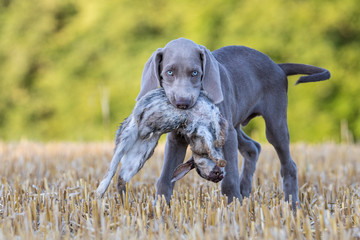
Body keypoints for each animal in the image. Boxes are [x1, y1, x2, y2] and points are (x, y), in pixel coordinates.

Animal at [95, 87, 228, 197]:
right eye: (198, 166)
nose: (218, 177)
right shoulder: (201, 127)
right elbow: (211, 141)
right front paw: (220, 157)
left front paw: (220, 144)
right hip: (125, 139)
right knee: (111, 171)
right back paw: (99, 195)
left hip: (140, 156)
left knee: (122, 179)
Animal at [134, 37, 330, 206]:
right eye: (169, 72)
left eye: (195, 73)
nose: (183, 103)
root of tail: (277, 66)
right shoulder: (177, 139)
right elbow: (165, 178)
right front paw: (158, 209)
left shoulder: (226, 136)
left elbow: (229, 180)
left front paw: (233, 208)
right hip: (236, 123)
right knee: (252, 148)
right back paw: (245, 191)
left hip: (274, 123)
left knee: (288, 165)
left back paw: (292, 204)